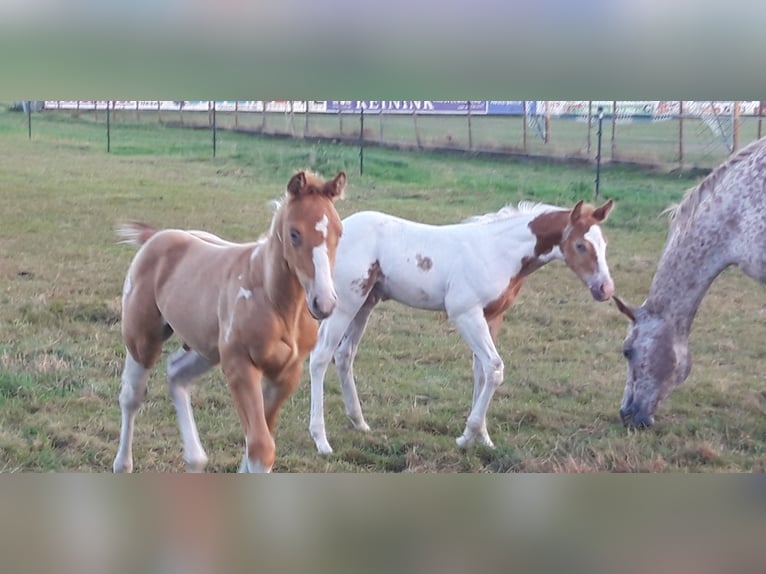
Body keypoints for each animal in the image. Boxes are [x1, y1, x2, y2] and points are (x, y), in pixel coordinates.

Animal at [112, 170, 346, 473]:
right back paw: (123, 465)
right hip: (142, 338)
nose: (323, 302)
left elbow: (257, 440)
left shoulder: (286, 374)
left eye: (339, 233)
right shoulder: (240, 366)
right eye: (294, 233)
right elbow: (261, 447)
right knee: (132, 396)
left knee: (176, 374)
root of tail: (158, 235)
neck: (277, 304)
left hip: (205, 348)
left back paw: (195, 459)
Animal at [308, 198, 615, 454]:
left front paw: (482, 438)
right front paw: (468, 436)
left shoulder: (491, 317)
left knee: (344, 355)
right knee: (320, 357)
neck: (499, 252)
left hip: (365, 303)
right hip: (345, 304)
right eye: (580, 245)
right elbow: (495, 368)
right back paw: (321, 441)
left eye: (604, 245)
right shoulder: (465, 313)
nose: (606, 289)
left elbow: (482, 372)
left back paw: (359, 422)